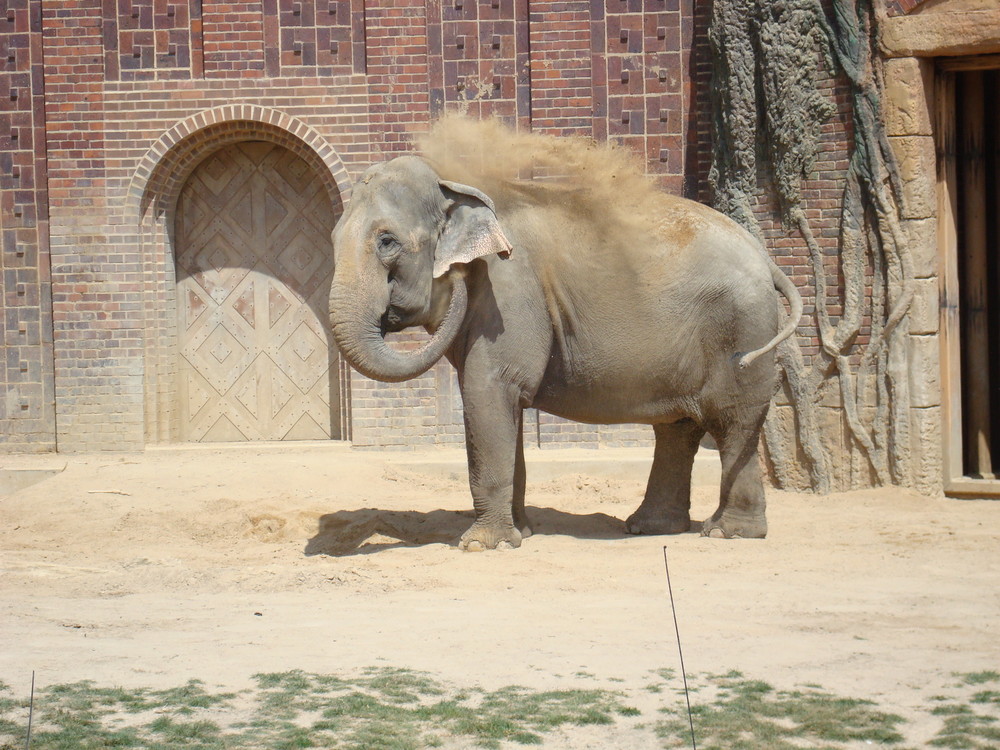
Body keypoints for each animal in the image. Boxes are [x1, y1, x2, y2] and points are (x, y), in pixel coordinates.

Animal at [332, 148, 800, 552]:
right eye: (335, 238)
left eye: (387, 242)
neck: (456, 185)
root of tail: (764, 257)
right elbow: (505, 407)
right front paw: (520, 532)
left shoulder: (511, 294)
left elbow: (489, 391)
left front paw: (482, 545)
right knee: (678, 428)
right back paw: (649, 527)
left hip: (742, 328)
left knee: (733, 420)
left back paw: (727, 533)